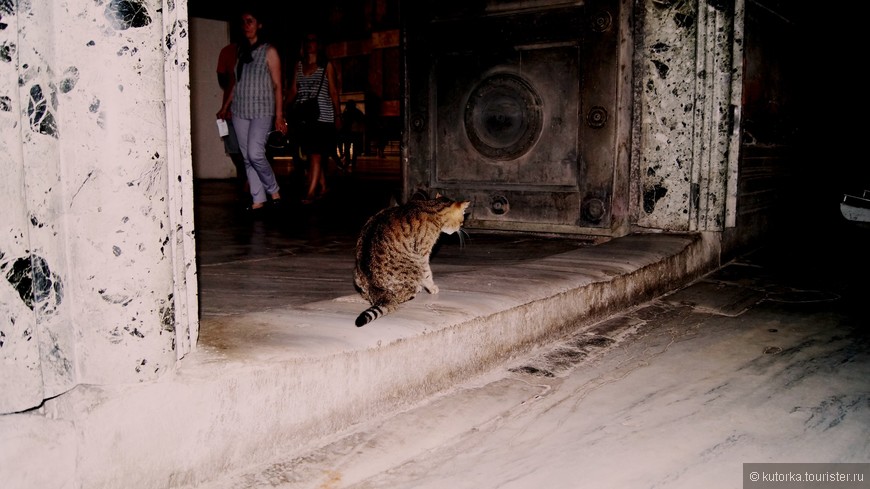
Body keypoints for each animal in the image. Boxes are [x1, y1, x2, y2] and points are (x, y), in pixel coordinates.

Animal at [354, 193, 474, 324]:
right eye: (462, 221)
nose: (460, 227)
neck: (433, 207)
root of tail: (374, 287)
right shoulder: (423, 254)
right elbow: (427, 273)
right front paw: (432, 287)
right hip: (414, 266)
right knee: (399, 297)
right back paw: (415, 291)